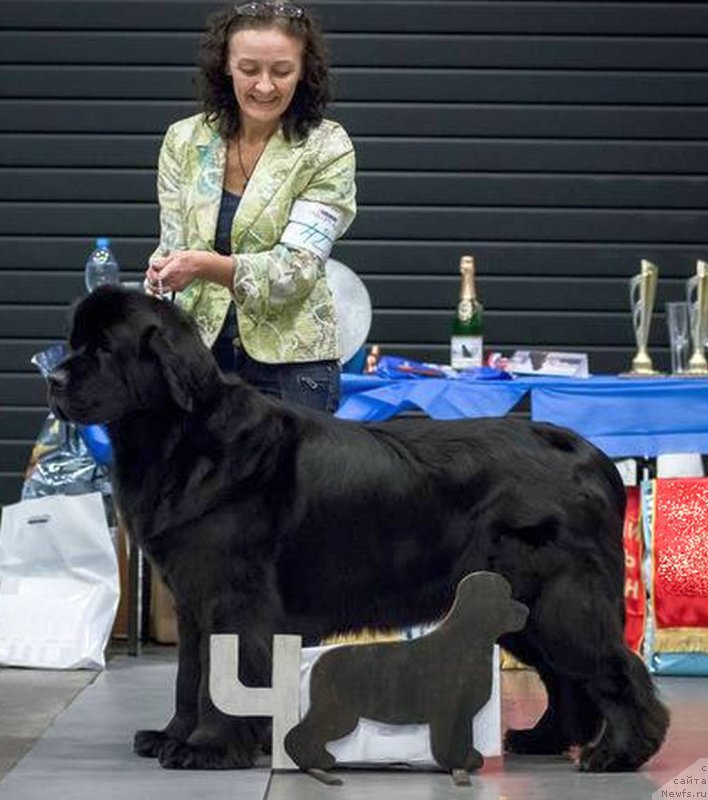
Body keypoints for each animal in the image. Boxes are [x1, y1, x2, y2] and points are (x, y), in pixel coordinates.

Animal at [49, 286, 668, 768]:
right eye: (74, 342)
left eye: (103, 349)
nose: (53, 378)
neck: (179, 437)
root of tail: (589, 454)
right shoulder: (194, 601)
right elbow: (188, 675)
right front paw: (171, 737)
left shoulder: (232, 599)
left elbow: (218, 680)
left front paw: (206, 748)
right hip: (523, 606)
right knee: (566, 679)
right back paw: (542, 739)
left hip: (561, 600)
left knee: (615, 669)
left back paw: (620, 753)